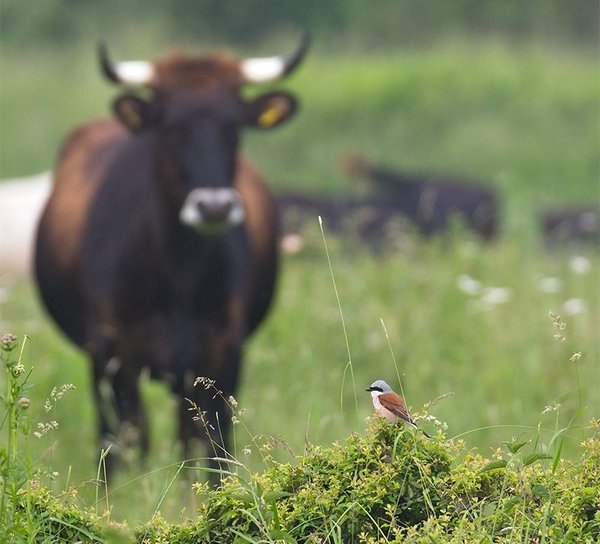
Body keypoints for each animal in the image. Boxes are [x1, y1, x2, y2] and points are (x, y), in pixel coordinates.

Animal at [34, 35, 310, 480]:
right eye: (170, 126)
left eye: (233, 127)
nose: (213, 207)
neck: (177, 272)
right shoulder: (112, 352)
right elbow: (125, 441)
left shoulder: (221, 352)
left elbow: (213, 445)